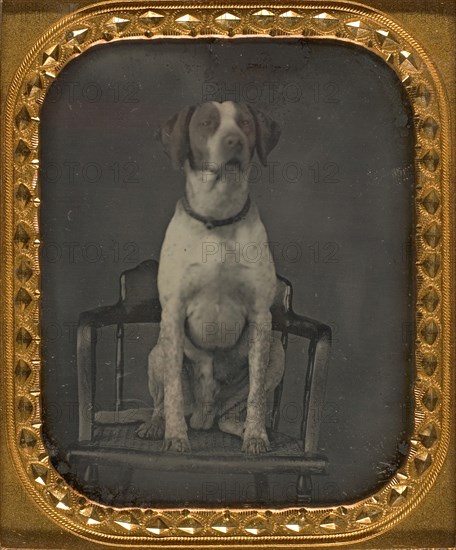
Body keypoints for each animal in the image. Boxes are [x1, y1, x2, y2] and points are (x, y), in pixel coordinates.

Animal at [97, 103, 284, 458]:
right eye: (207, 123)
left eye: (245, 123)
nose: (234, 142)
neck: (218, 218)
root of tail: (202, 415)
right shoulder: (173, 313)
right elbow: (172, 391)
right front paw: (175, 439)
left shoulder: (260, 316)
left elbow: (256, 397)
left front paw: (256, 437)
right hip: (157, 352)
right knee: (164, 402)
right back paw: (157, 425)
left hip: (275, 351)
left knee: (235, 411)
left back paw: (242, 428)